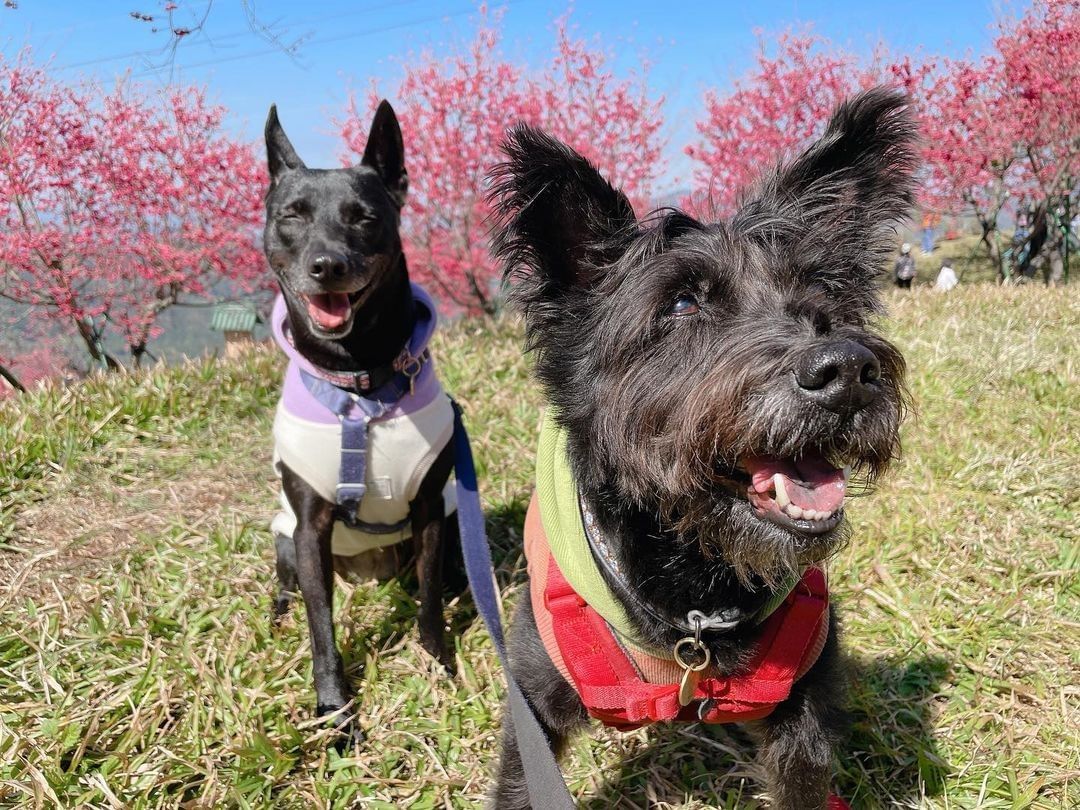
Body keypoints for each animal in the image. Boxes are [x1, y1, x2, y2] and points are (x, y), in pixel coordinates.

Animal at [266, 99, 460, 743]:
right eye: (292, 215)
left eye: (364, 218)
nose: (328, 265)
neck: (363, 387)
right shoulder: (309, 526)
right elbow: (321, 628)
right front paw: (334, 709)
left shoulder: (430, 509)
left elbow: (428, 601)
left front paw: (438, 662)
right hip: (283, 537)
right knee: (290, 587)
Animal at [490, 85, 920, 807]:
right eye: (684, 303)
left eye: (821, 292)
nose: (848, 371)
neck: (695, 595)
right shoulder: (534, 708)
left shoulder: (804, 705)